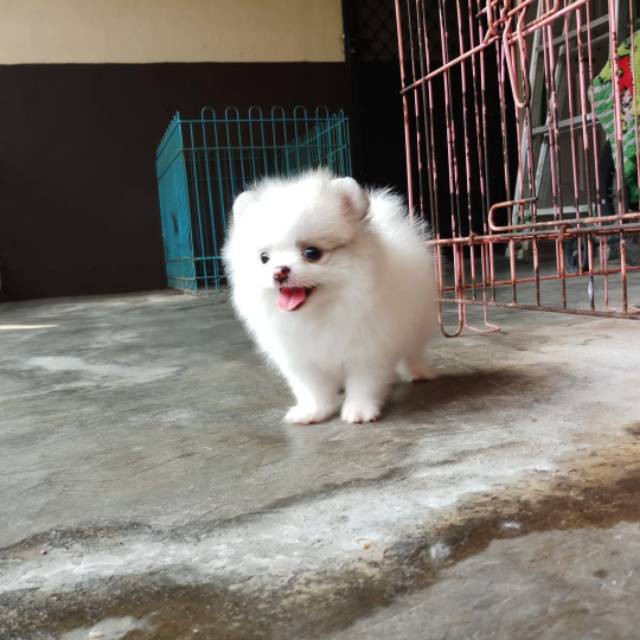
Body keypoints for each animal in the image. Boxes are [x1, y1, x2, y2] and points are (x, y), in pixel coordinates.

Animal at [223, 170, 437, 424]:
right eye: (264, 258)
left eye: (311, 253)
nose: (279, 272)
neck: (322, 310)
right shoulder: (302, 358)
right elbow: (313, 388)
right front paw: (314, 411)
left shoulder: (368, 350)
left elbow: (363, 384)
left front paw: (359, 410)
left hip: (418, 323)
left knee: (413, 351)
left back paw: (418, 372)